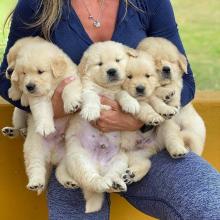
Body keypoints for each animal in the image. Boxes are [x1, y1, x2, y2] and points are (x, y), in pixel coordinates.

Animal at [56, 41, 138, 213]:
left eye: (118, 60)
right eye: (99, 64)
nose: (111, 70)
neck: (108, 89)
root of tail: (99, 167)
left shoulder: (119, 90)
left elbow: (123, 94)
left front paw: (131, 103)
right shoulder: (87, 90)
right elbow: (92, 97)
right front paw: (92, 111)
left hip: (119, 161)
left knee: (111, 175)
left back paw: (116, 183)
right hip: (79, 160)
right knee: (92, 181)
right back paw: (102, 182)